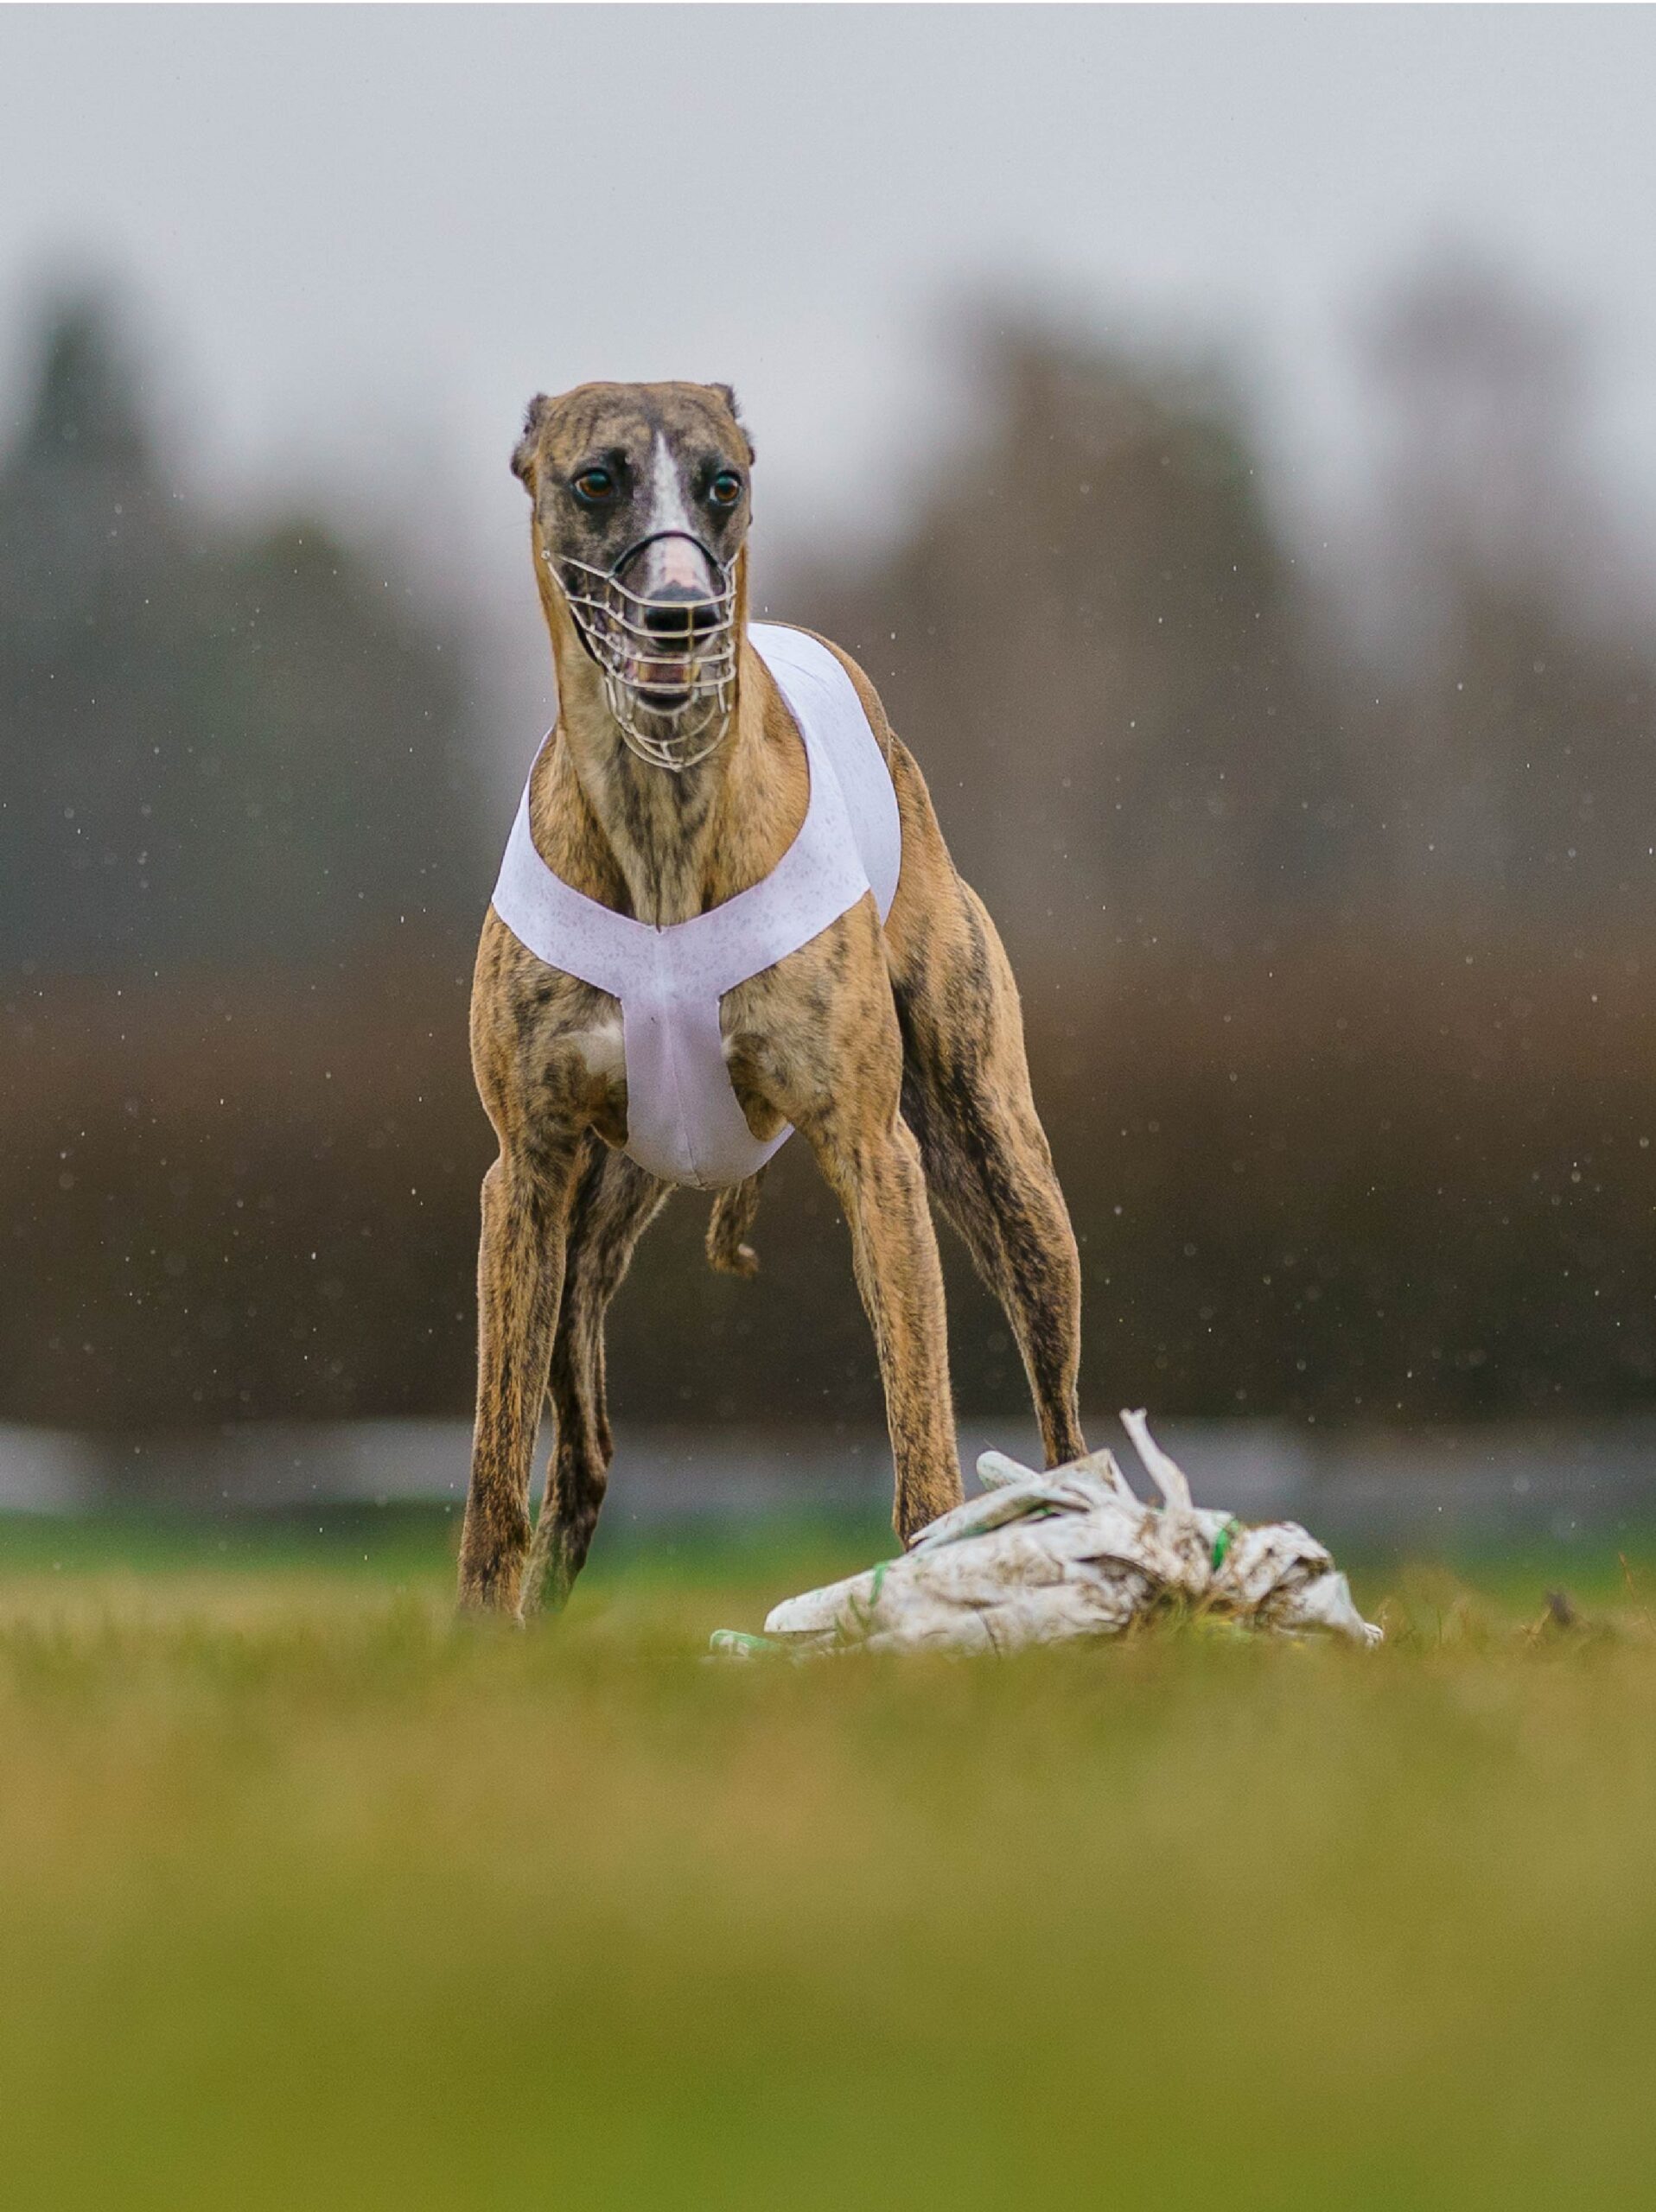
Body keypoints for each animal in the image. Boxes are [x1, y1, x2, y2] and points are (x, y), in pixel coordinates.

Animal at [458, 385, 1080, 1628]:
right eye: (595, 479)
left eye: (724, 484)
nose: (682, 615)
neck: (659, 816)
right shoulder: (529, 1175)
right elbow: (499, 1467)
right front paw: (472, 1631)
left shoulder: (875, 1155)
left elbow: (923, 1440)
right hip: (594, 1226)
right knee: (583, 1452)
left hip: (1000, 1163)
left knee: (1066, 1423)